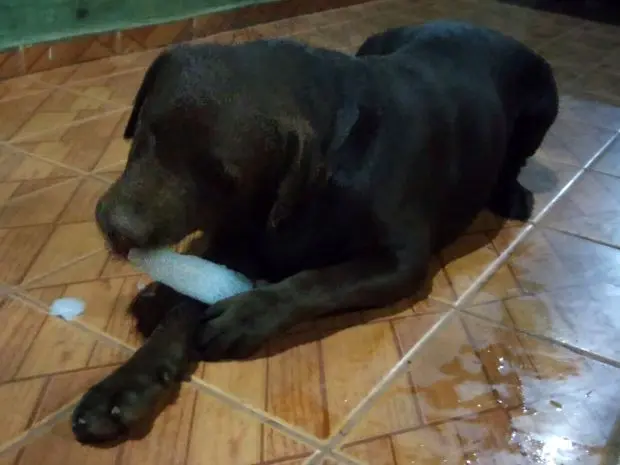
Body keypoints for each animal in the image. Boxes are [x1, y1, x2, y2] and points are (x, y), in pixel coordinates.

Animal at [71, 20, 556, 442]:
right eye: (145, 132)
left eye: (221, 175)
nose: (116, 229)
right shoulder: (237, 235)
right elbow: (189, 301)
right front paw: (127, 383)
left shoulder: (399, 260)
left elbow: (319, 281)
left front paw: (250, 311)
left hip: (543, 103)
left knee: (515, 162)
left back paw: (511, 193)